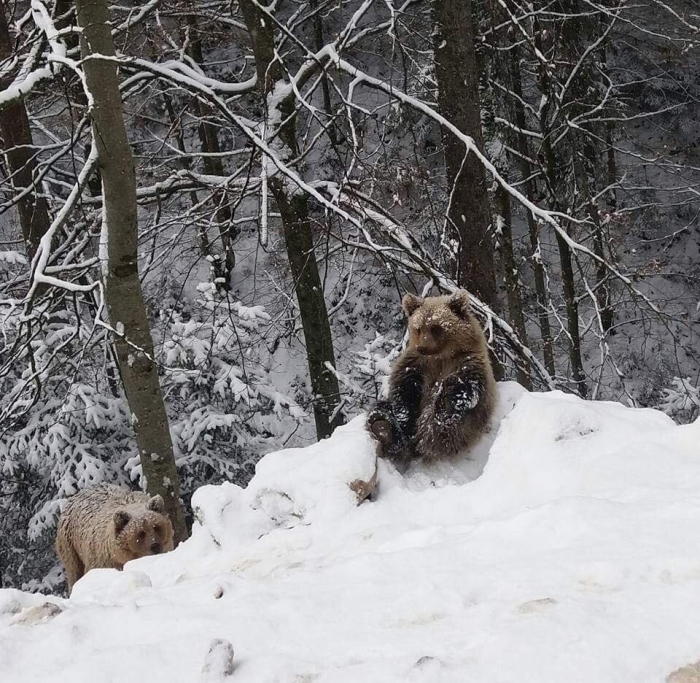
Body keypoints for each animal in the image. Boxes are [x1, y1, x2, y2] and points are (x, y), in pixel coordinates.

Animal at [370, 288, 494, 464]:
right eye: (418, 328)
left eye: (436, 327)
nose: (423, 347)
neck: (440, 356)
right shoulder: (416, 365)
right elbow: (404, 391)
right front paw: (403, 420)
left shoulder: (468, 362)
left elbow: (470, 386)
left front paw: (452, 392)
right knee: (380, 409)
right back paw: (383, 428)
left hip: (469, 427)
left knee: (442, 430)